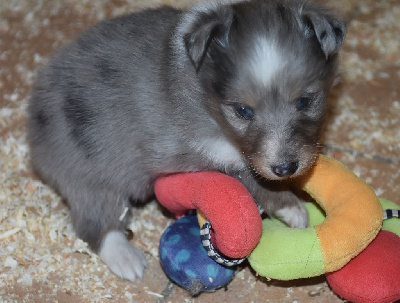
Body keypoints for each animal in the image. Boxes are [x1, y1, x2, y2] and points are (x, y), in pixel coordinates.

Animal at [28, 0, 346, 282]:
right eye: (242, 111)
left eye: (305, 101)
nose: (285, 168)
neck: (204, 96)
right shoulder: (197, 150)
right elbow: (248, 175)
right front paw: (292, 208)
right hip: (89, 175)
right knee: (95, 224)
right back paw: (128, 260)